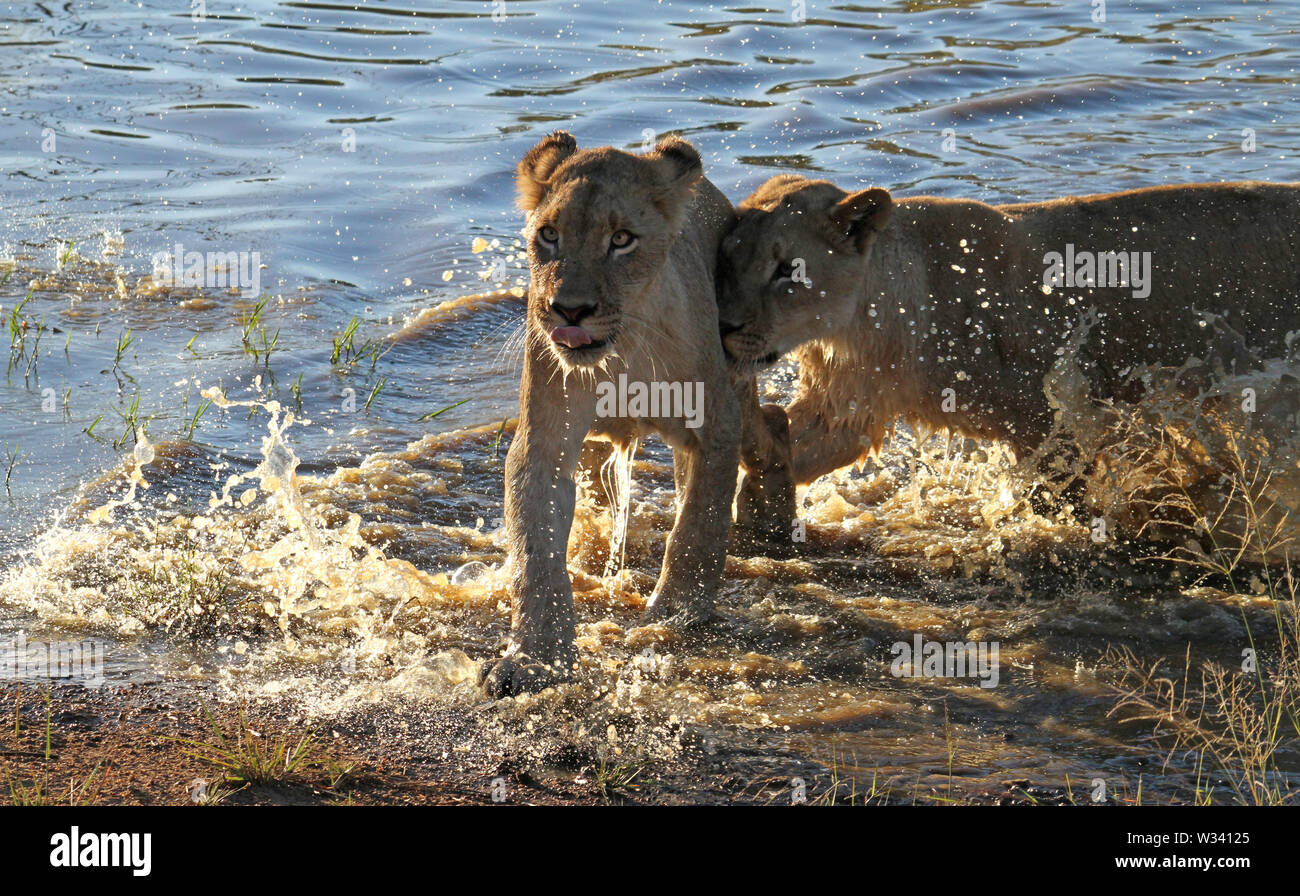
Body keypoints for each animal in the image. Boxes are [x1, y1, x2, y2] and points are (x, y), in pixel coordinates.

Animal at [480, 129, 754, 697]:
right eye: (549, 235)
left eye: (622, 239)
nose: (570, 310)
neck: (622, 351)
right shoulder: (543, 440)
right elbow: (535, 553)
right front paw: (535, 658)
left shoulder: (717, 424)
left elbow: (699, 523)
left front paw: (676, 611)